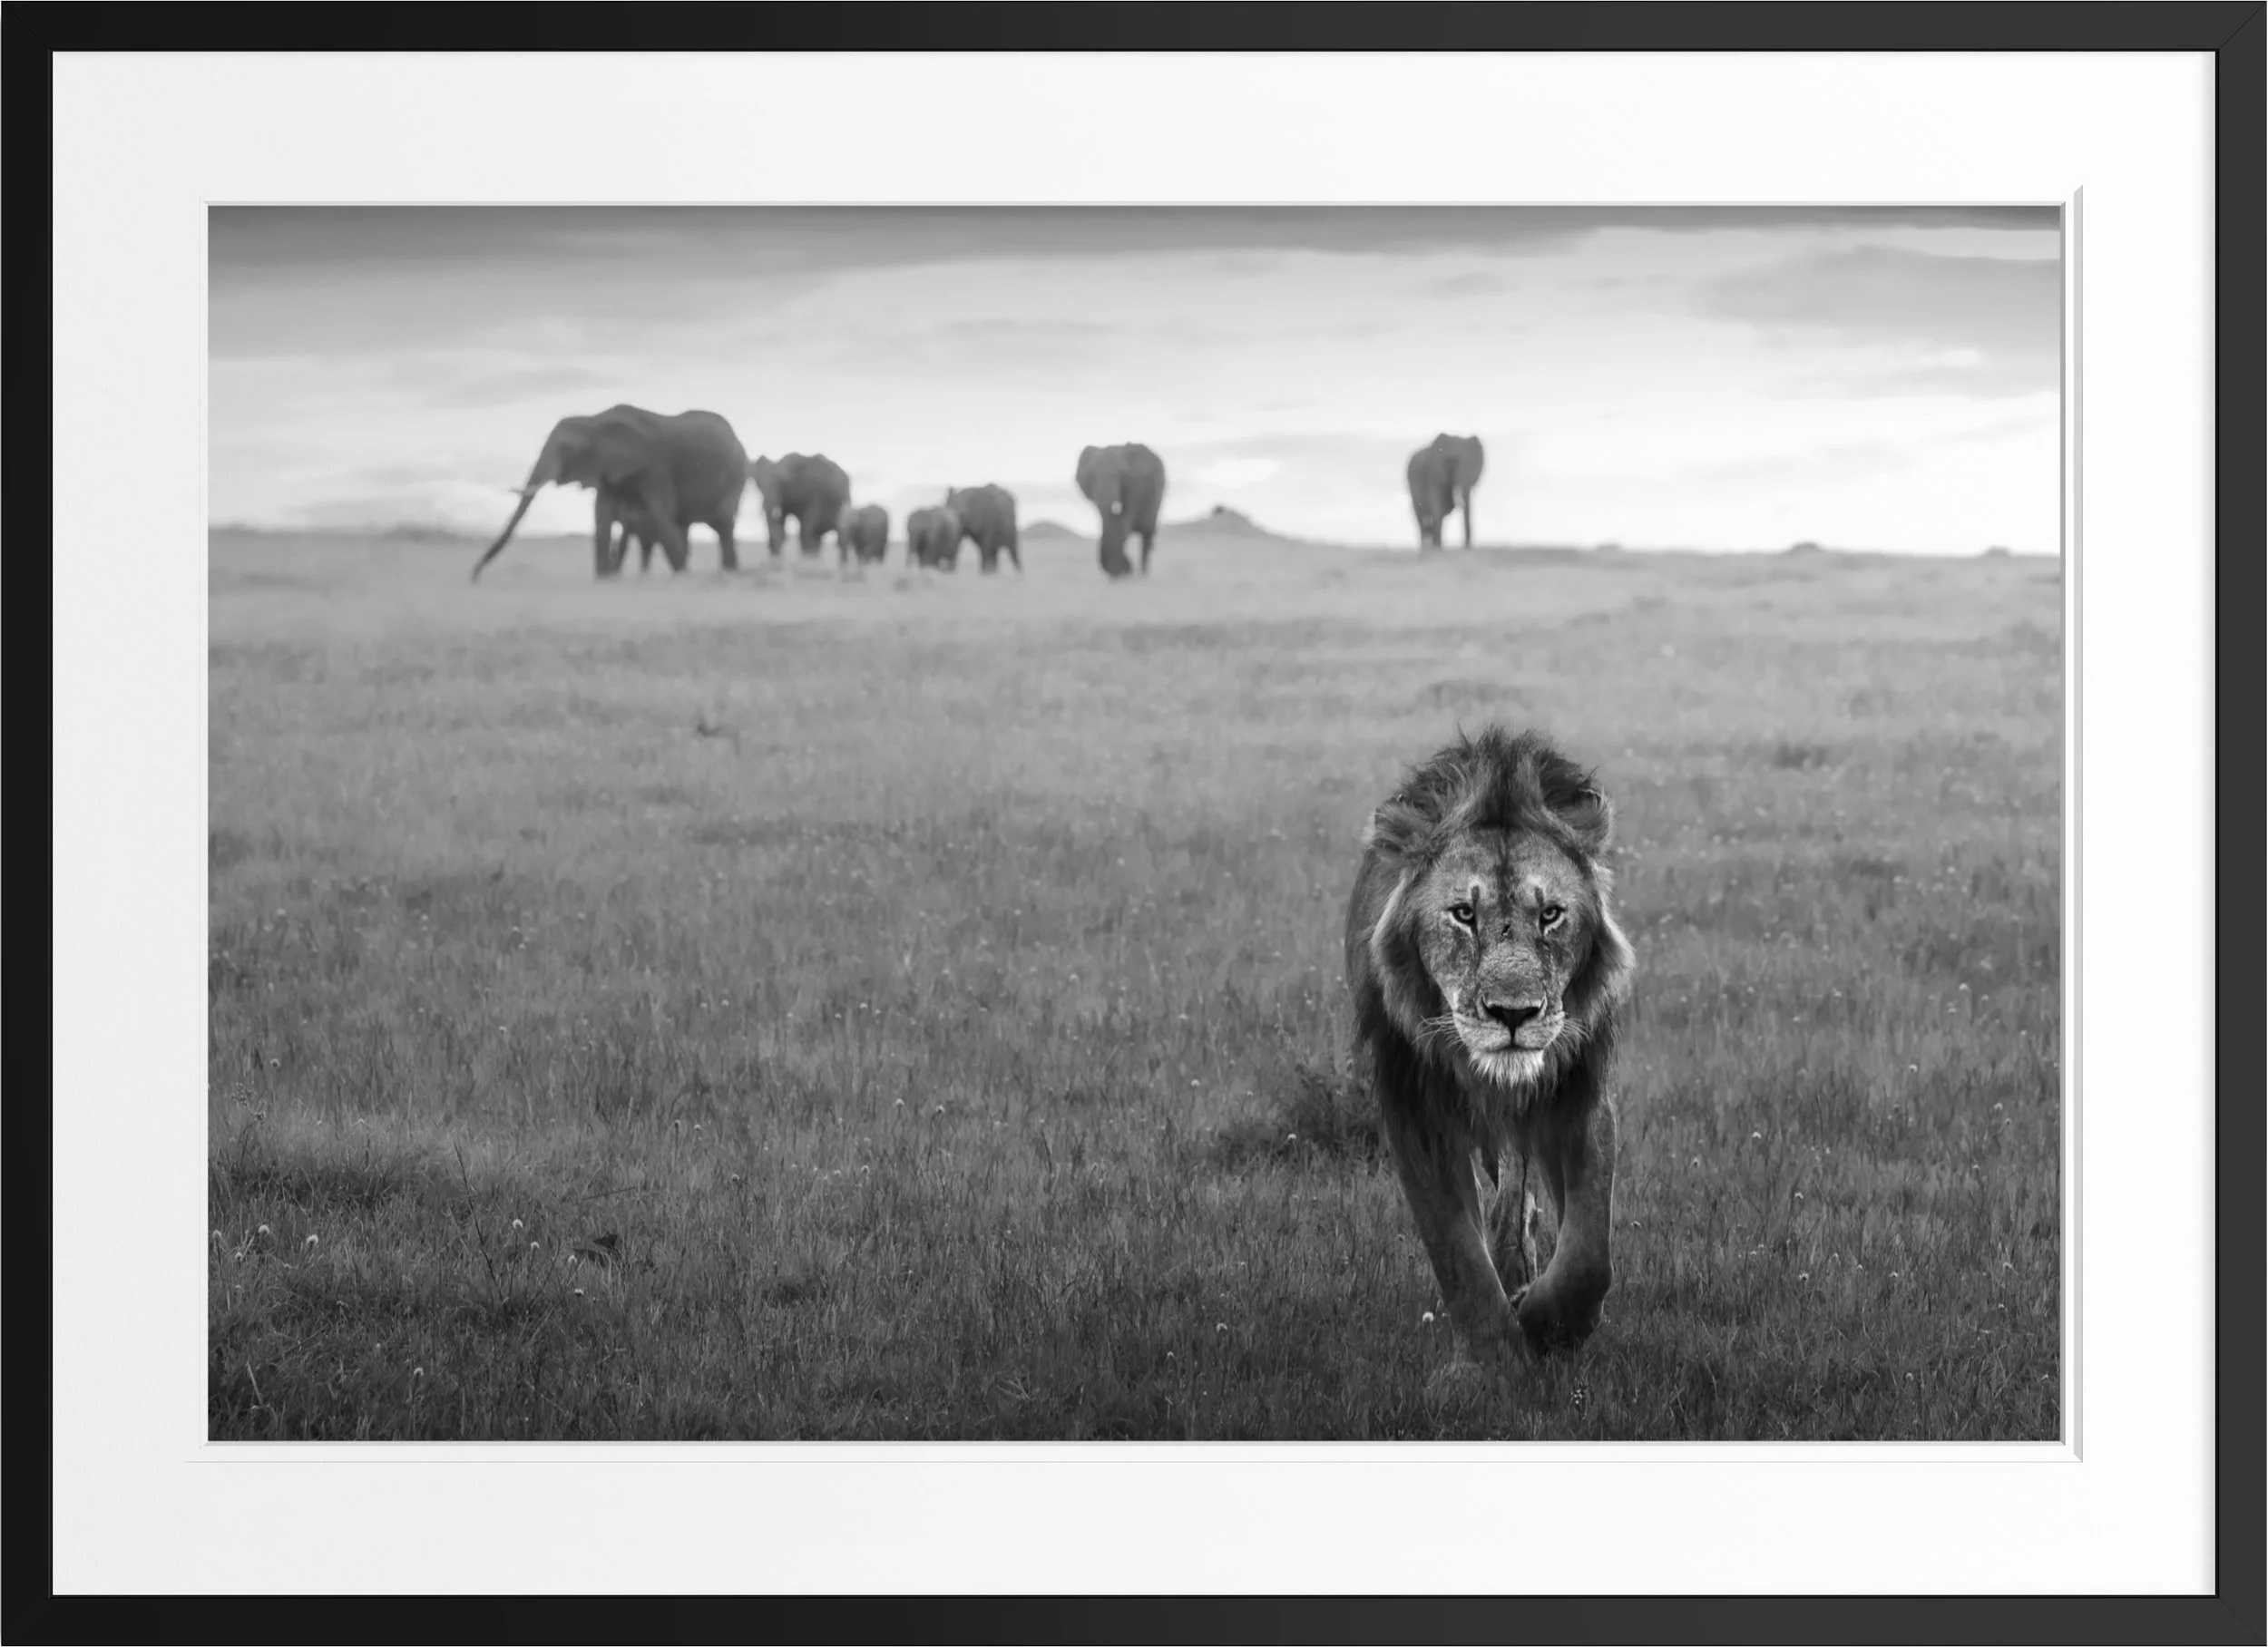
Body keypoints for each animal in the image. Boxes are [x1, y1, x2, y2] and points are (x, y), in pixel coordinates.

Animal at [1345, 725, 1635, 1384]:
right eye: (1463, 914)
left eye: (1550, 914)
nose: (1513, 1015)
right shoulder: (1416, 1110)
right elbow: (1457, 1252)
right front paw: (1496, 1363)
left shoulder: (1578, 1095)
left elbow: (1589, 1255)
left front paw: (1548, 1324)